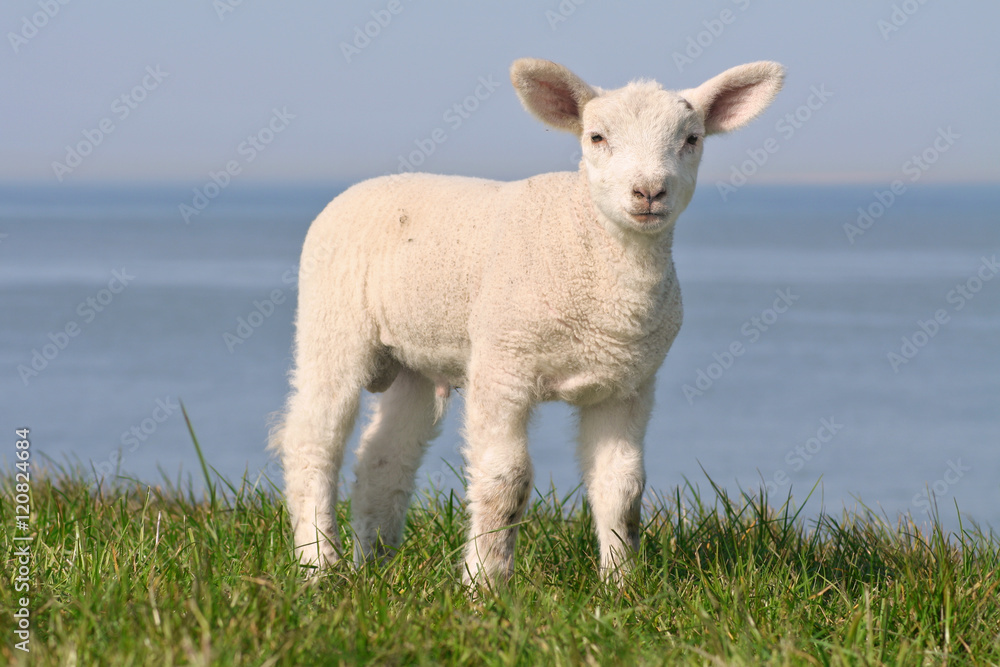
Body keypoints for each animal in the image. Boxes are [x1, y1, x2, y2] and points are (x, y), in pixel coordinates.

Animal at [270, 57, 784, 586]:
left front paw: (621, 586)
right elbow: (506, 482)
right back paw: (319, 564)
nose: (648, 191)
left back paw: (377, 566)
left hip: (415, 357)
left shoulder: (628, 384)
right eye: (597, 137)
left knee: (385, 458)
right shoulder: (502, 366)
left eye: (692, 139)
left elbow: (622, 488)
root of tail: (363, 187)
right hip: (332, 324)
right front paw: (485, 583)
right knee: (312, 441)